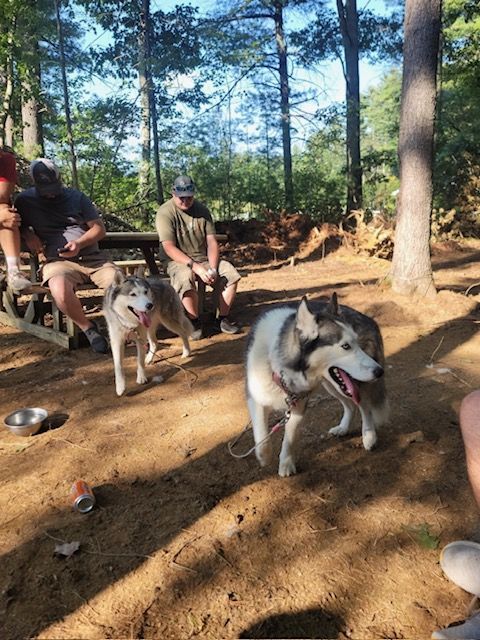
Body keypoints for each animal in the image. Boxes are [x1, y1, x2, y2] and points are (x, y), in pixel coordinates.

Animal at [245, 293, 388, 476]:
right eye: (345, 346)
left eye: (356, 343)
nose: (379, 371)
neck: (280, 367)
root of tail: (368, 318)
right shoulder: (255, 399)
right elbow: (261, 436)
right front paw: (264, 456)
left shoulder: (298, 407)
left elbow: (289, 440)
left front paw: (286, 464)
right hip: (332, 386)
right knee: (350, 405)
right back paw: (343, 428)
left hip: (351, 384)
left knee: (364, 407)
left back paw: (369, 436)